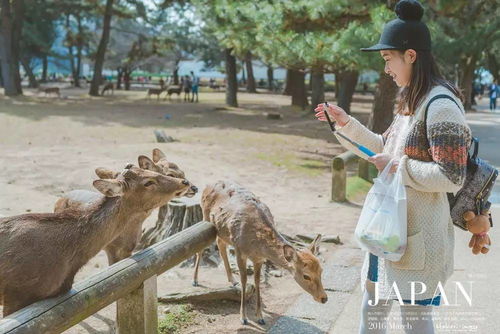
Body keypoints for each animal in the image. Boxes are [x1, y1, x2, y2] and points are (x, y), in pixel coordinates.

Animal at [52, 148, 189, 264]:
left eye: (183, 172)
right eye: (148, 182)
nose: (186, 183)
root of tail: (61, 197)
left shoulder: (129, 250)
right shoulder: (110, 248)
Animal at [195, 181, 328, 324]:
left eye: (321, 271)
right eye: (306, 276)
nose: (324, 298)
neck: (257, 245)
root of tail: (209, 185)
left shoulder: (259, 259)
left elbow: (258, 282)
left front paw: (260, 317)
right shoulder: (239, 251)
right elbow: (244, 280)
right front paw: (243, 317)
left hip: (222, 231)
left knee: (220, 244)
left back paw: (232, 280)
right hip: (205, 216)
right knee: (202, 246)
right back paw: (195, 280)